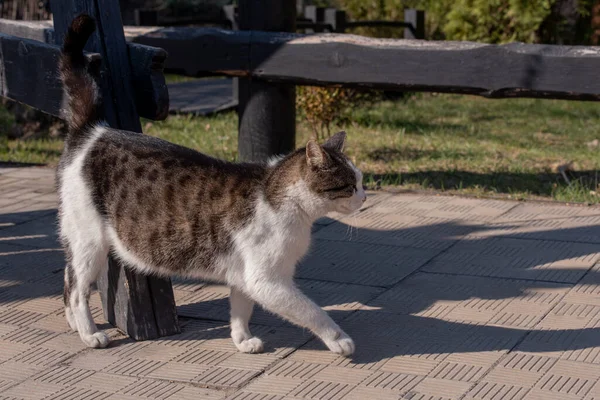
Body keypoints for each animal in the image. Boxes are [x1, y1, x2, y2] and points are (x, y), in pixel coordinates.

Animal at [57, 14, 366, 356]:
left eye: (361, 181)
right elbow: (312, 310)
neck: (284, 202)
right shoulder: (268, 281)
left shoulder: (244, 276)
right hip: (89, 241)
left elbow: (241, 309)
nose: (365, 197)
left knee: (68, 279)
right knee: (77, 289)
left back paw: (74, 324)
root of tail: (93, 131)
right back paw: (89, 333)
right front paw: (339, 339)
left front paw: (242, 340)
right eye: (350, 185)